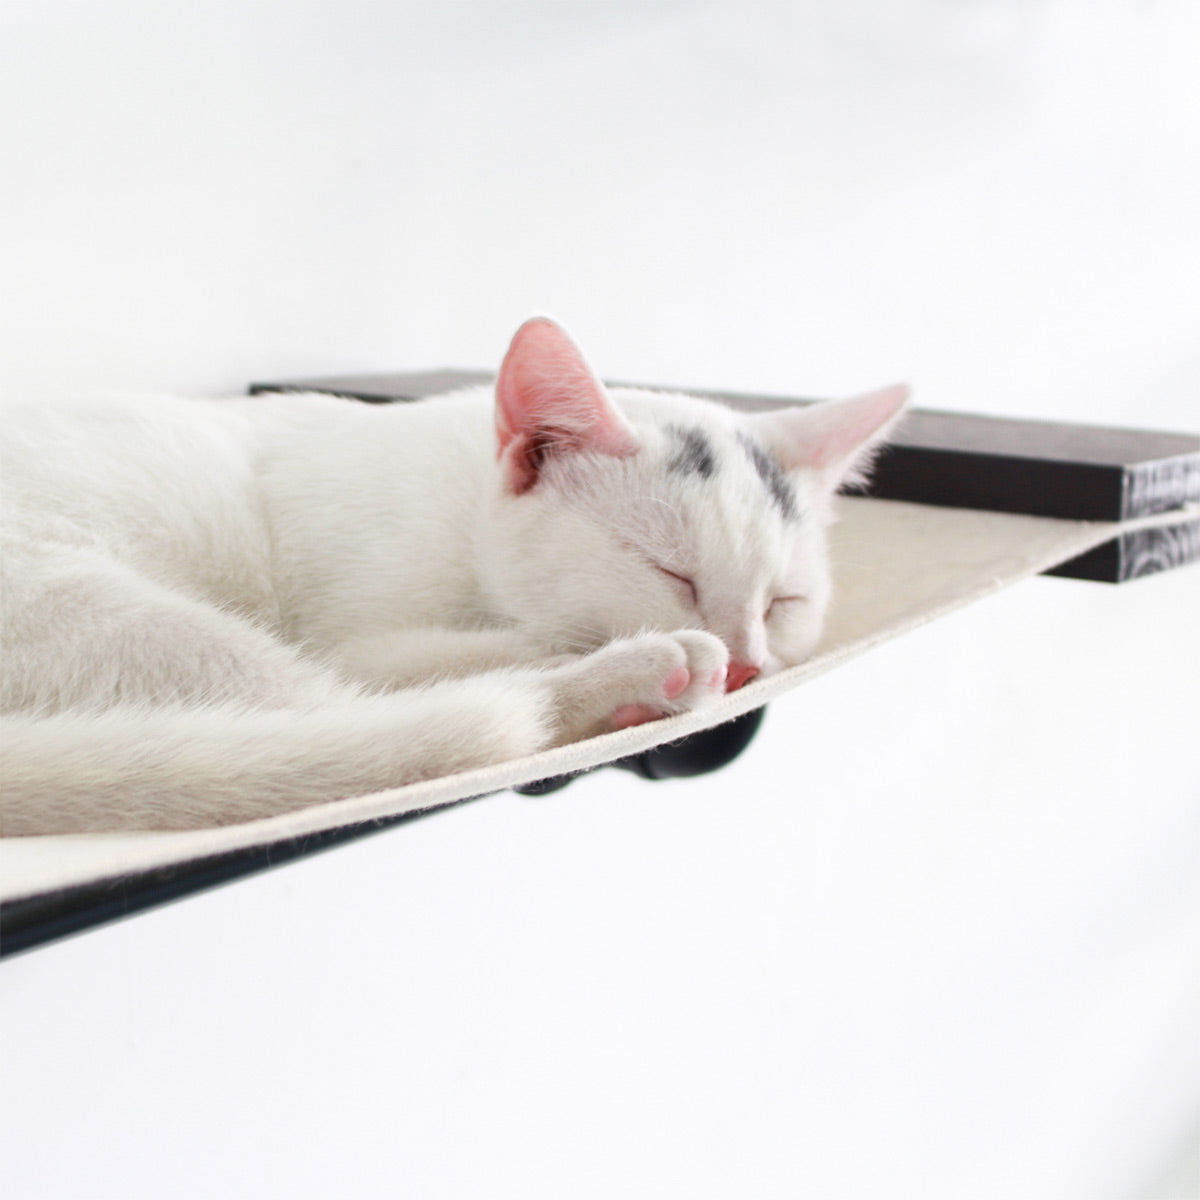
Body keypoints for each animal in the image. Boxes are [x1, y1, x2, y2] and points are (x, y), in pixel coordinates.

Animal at [0, 319, 902, 835]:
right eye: (671, 572)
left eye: (784, 603)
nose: (748, 662)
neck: (466, 519)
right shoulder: (359, 633)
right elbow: (476, 653)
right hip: (102, 603)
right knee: (363, 713)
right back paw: (636, 676)